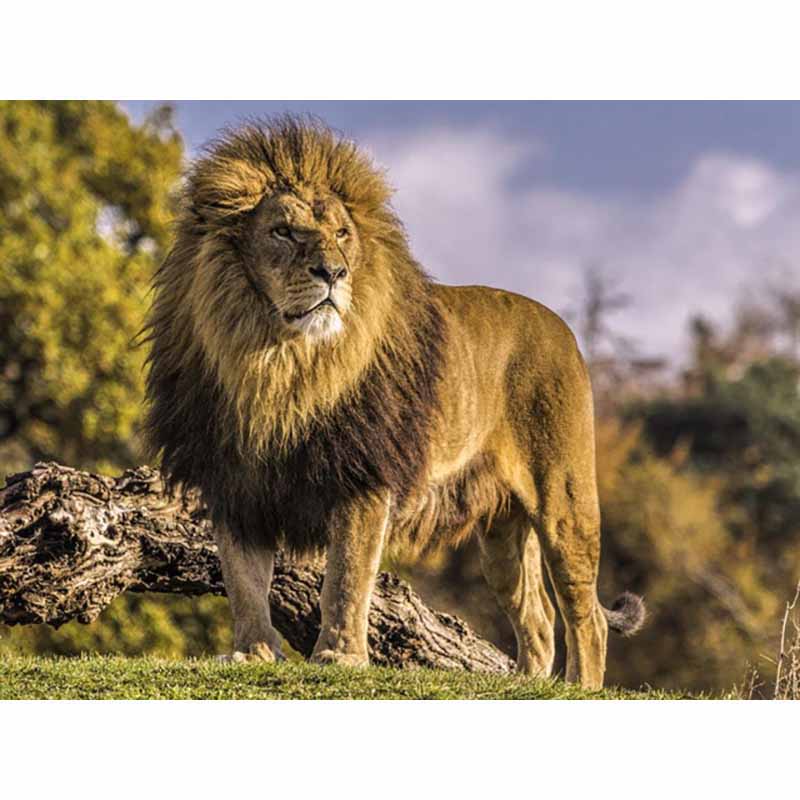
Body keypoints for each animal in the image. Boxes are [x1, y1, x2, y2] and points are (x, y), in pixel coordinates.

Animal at [143, 115, 644, 688]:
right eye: (283, 231)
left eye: (342, 234)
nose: (333, 273)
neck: (276, 365)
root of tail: (564, 329)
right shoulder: (235, 482)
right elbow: (243, 580)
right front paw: (252, 652)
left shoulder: (363, 476)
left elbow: (346, 576)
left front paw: (339, 656)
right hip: (502, 533)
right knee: (537, 620)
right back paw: (525, 685)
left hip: (564, 500)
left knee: (586, 616)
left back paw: (580, 687)